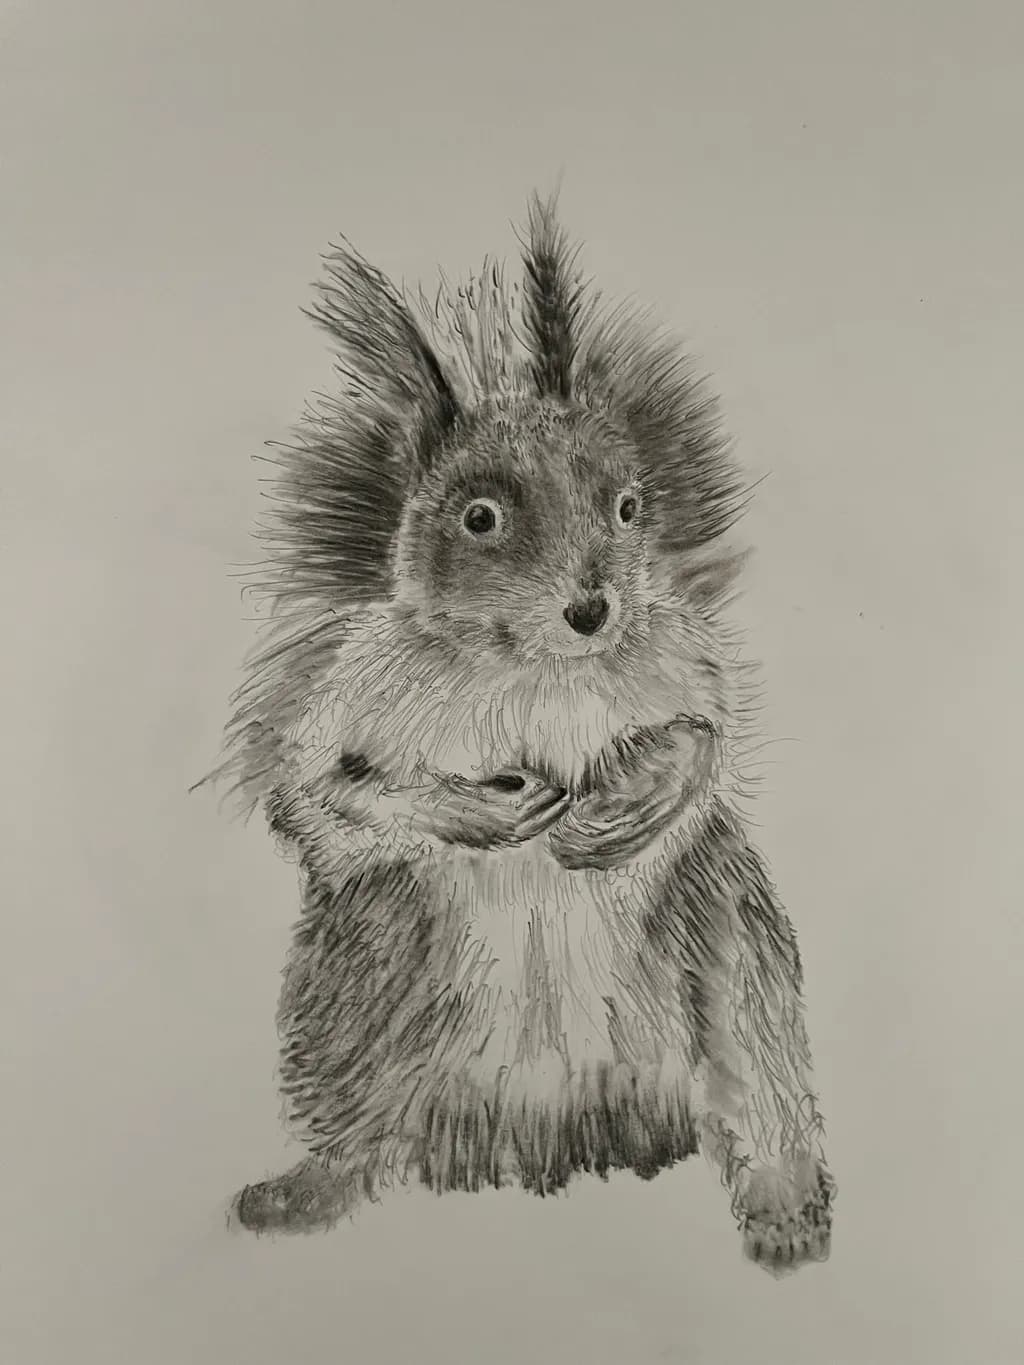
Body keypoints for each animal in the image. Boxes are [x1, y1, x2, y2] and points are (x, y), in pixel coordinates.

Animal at [205, 194, 836, 1275]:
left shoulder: (681, 658)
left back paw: (784, 1203)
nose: (592, 608)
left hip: (730, 957)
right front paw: (471, 811)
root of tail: (547, 1142)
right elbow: (318, 799)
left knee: (753, 1079)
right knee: (364, 1120)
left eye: (628, 505)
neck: (534, 667)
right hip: (362, 968)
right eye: (479, 517)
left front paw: (647, 793)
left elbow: (712, 737)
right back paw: (313, 1187)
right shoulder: (348, 691)